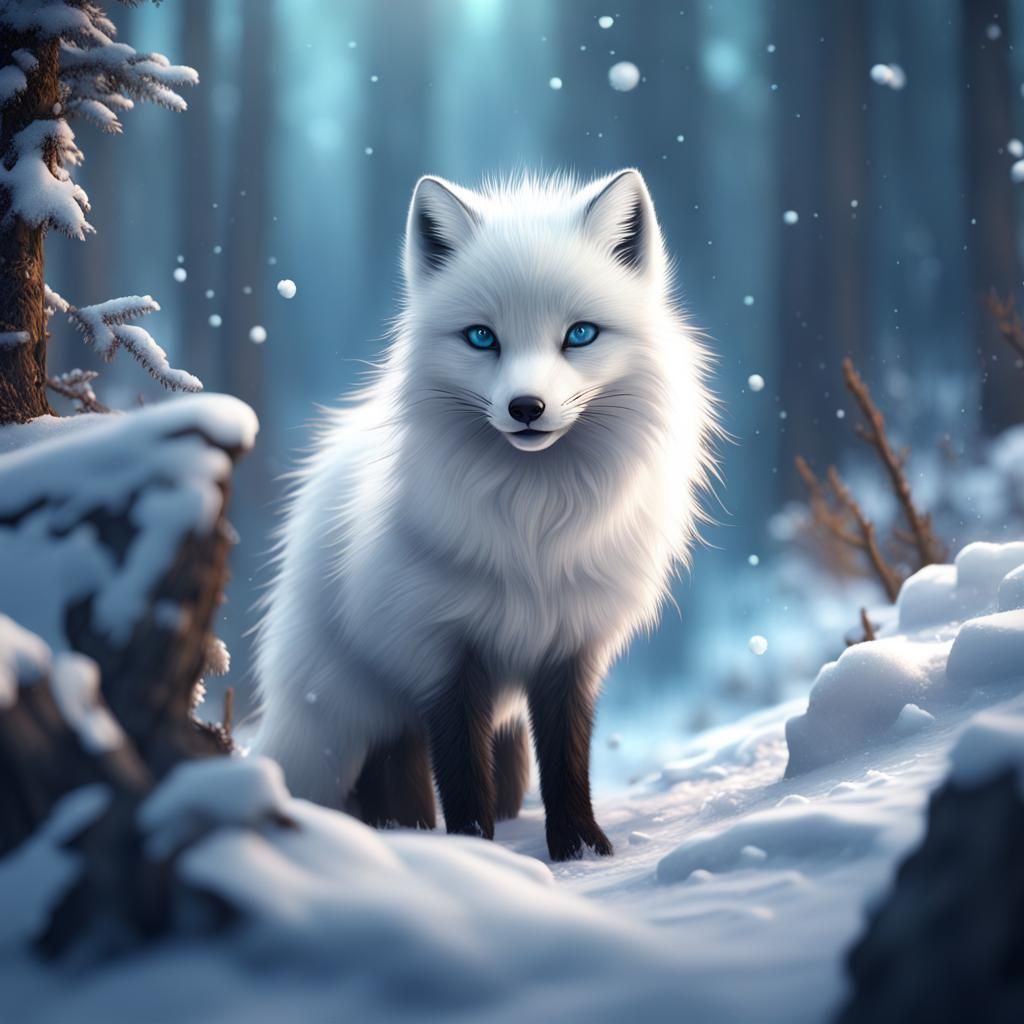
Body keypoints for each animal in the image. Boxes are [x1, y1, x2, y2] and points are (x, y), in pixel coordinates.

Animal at [249, 169, 718, 861]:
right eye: (481, 337)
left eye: (580, 334)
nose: (526, 407)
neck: (535, 523)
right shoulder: (441, 652)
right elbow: (462, 774)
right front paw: (476, 853)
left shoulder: (570, 648)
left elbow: (568, 761)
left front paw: (580, 850)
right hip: (351, 716)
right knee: (391, 775)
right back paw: (403, 837)